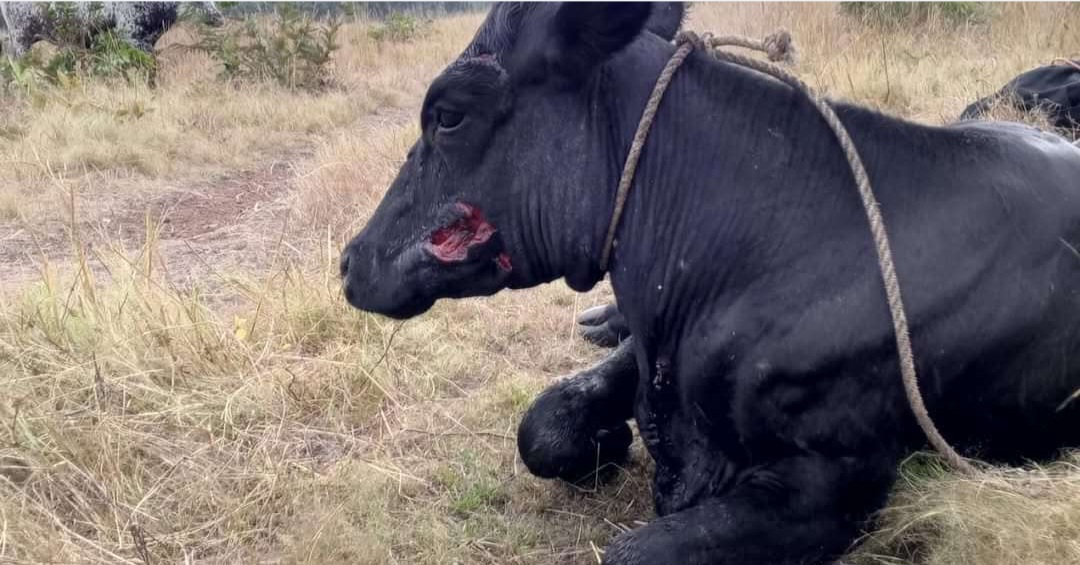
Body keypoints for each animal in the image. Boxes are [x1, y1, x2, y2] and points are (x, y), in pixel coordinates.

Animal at [339, 3, 1080, 561]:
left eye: (448, 113)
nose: (349, 261)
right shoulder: (652, 347)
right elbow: (541, 425)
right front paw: (603, 440)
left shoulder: (835, 479)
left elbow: (629, 552)